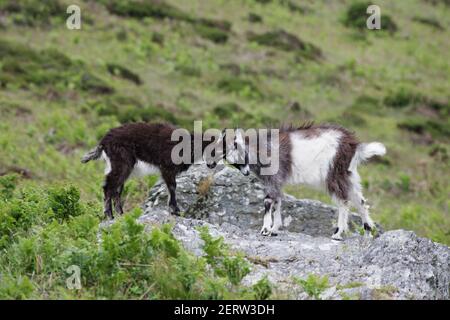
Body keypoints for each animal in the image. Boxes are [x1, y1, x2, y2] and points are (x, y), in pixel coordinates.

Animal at [81, 121, 250, 219]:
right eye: (240, 153)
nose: (248, 172)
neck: (191, 144)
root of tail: (104, 141)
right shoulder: (167, 167)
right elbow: (172, 186)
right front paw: (175, 210)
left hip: (121, 165)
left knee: (116, 189)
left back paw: (120, 214)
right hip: (122, 162)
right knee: (109, 186)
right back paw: (109, 215)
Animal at [209, 124, 384, 239]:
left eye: (240, 153)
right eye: (231, 162)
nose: (245, 173)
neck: (262, 150)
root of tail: (354, 145)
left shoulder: (274, 178)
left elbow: (268, 202)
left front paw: (265, 229)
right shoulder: (276, 181)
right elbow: (278, 202)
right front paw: (274, 229)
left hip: (333, 174)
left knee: (343, 201)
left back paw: (338, 233)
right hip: (348, 174)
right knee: (360, 200)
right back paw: (369, 230)